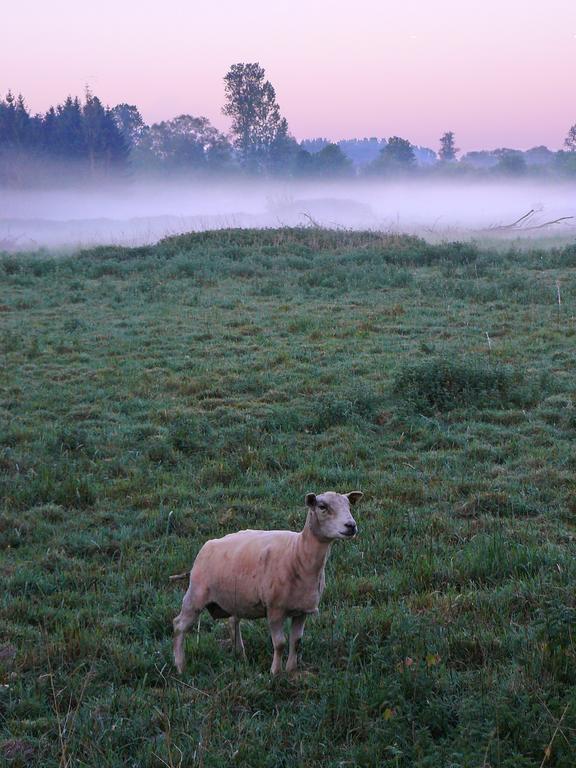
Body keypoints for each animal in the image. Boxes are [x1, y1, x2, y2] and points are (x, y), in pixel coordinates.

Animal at [171, 492, 362, 672]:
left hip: (235, 598)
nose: (351, 526)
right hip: (196, 594)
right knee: (179, 625)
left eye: (349, 506)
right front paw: (275, 673)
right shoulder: (275, 609)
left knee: (233, 622)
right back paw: (180, 666)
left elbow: (296, 642)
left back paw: (241, 655)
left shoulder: (302, 610)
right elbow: (280, 643)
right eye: (322, 507)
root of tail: (207, 546)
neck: (298, 553)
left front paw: (291, 671)